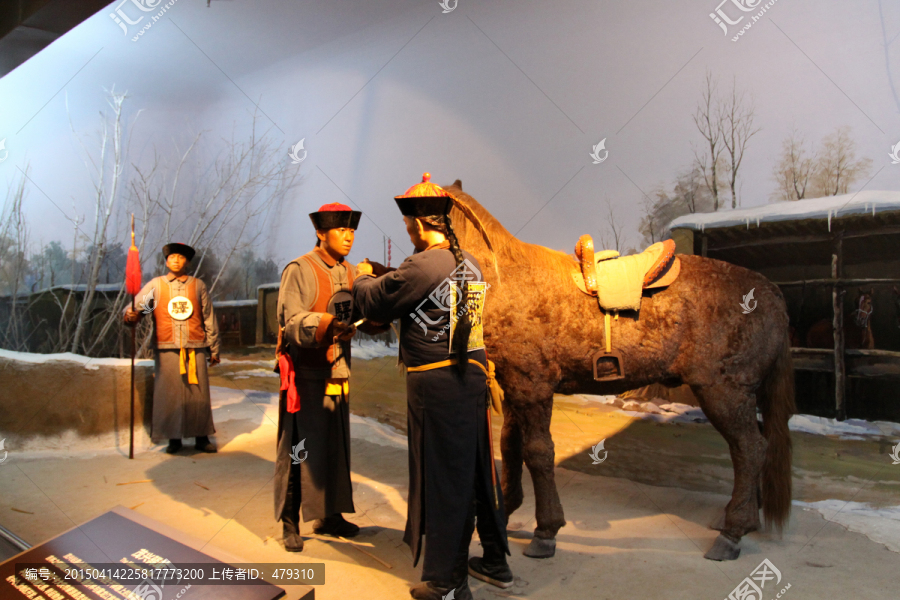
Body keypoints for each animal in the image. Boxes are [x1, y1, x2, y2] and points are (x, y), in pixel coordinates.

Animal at [444, 182, 796, 564]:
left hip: (724, 392)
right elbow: (510, 446)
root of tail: (770, 292)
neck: (507, 279)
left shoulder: (532, 387)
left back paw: (732, 532)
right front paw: (505, 515)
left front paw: (545, 531)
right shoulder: (513, 388)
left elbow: (537, 452)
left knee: (750, 448)